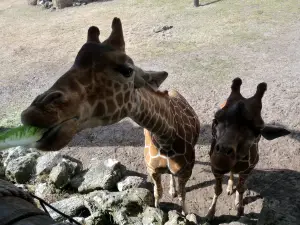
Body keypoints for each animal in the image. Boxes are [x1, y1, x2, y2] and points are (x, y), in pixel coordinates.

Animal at [20, 17, 199, 214]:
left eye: (127, 70)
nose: (35, 112)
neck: (165, 138)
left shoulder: (186, 172)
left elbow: (183, 196)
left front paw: (183, 214)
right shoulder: (152, 170)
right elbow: (157, 194)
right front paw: (159, 210)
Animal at [206, 77, 290, 220]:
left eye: (258, 130)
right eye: (215, 119)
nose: (221, 159)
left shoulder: (248, 168)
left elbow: (241, 188)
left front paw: (240, 209)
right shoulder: (214, 168)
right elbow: (217, 189)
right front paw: (210, 213)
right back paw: (230, 188)